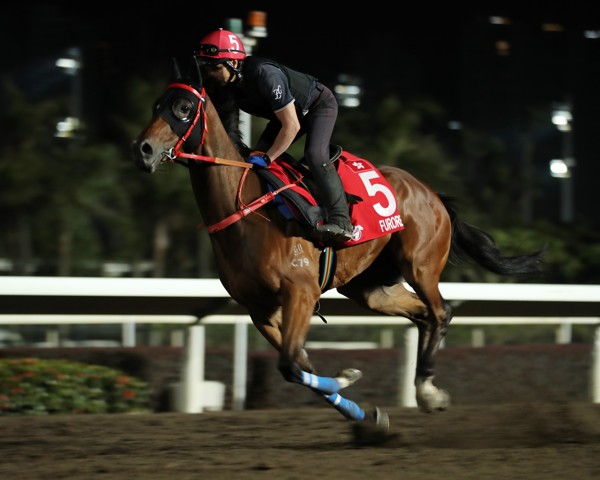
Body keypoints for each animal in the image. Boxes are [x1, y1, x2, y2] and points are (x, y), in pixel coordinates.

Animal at [131, 59, 544, 442]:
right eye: (155, 105)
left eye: (184, 107)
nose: (143, 150)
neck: (244, 208)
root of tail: (432, 193)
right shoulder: (259, 309)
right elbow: (301, 366)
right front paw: (368, 418)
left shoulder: (299, 291)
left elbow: (292, 365)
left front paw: (349, 378)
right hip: (371, 288)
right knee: (423, 315)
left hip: (420, 264)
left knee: (441, 312)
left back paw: (428, 392)